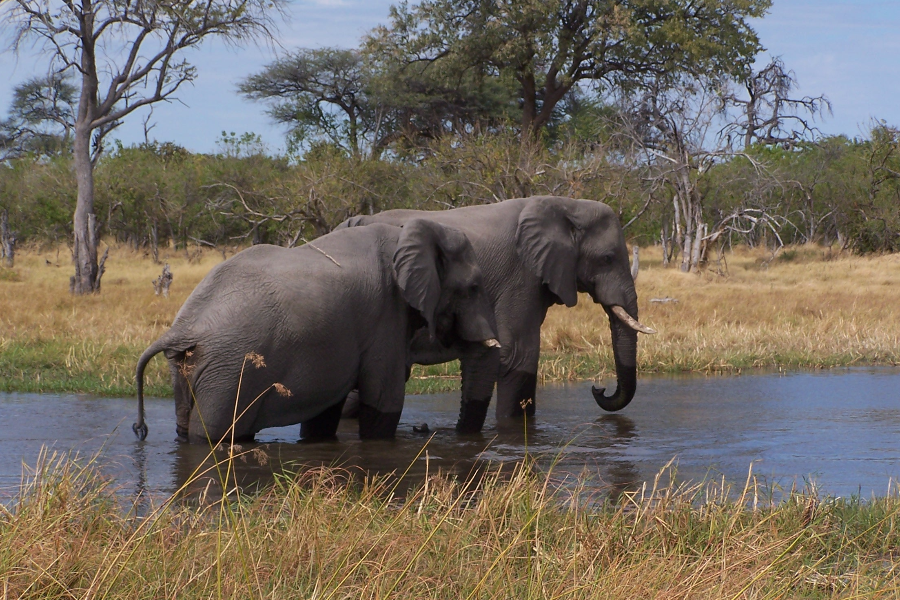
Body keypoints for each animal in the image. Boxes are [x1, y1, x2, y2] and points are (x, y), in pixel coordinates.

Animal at [134, 218, 500, 442]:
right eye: (473, 288)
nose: (428, 430)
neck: (404, 233)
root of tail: (183, 329)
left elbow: (325, 412)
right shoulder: (386, 315)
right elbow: (384, 400)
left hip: (191, 366)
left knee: (188, 429)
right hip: (229, 370)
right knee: (213, 434)